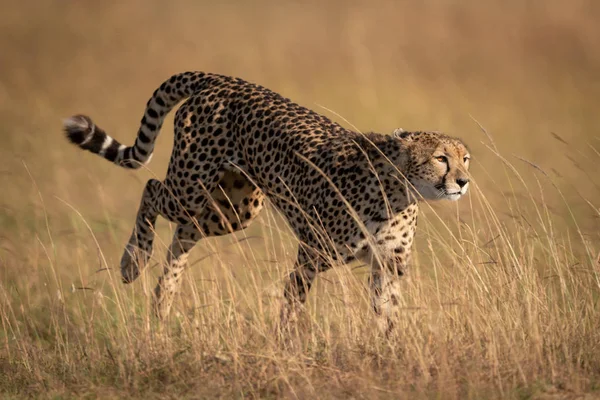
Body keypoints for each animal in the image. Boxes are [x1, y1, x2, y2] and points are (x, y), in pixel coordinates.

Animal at [63, 72, 472, 328]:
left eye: (465, 158)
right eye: (441, 158)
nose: (464, 181)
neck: (398, 192)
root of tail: (221, 79)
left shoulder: (387, 266)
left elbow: (389, 315)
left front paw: (391, 352)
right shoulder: (311, 253)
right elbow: (292, 305)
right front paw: (287, 346)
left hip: (234, 208)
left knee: (183, 234)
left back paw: (163, 299)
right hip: (191, 186)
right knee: (150, 188)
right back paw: (133, 263)